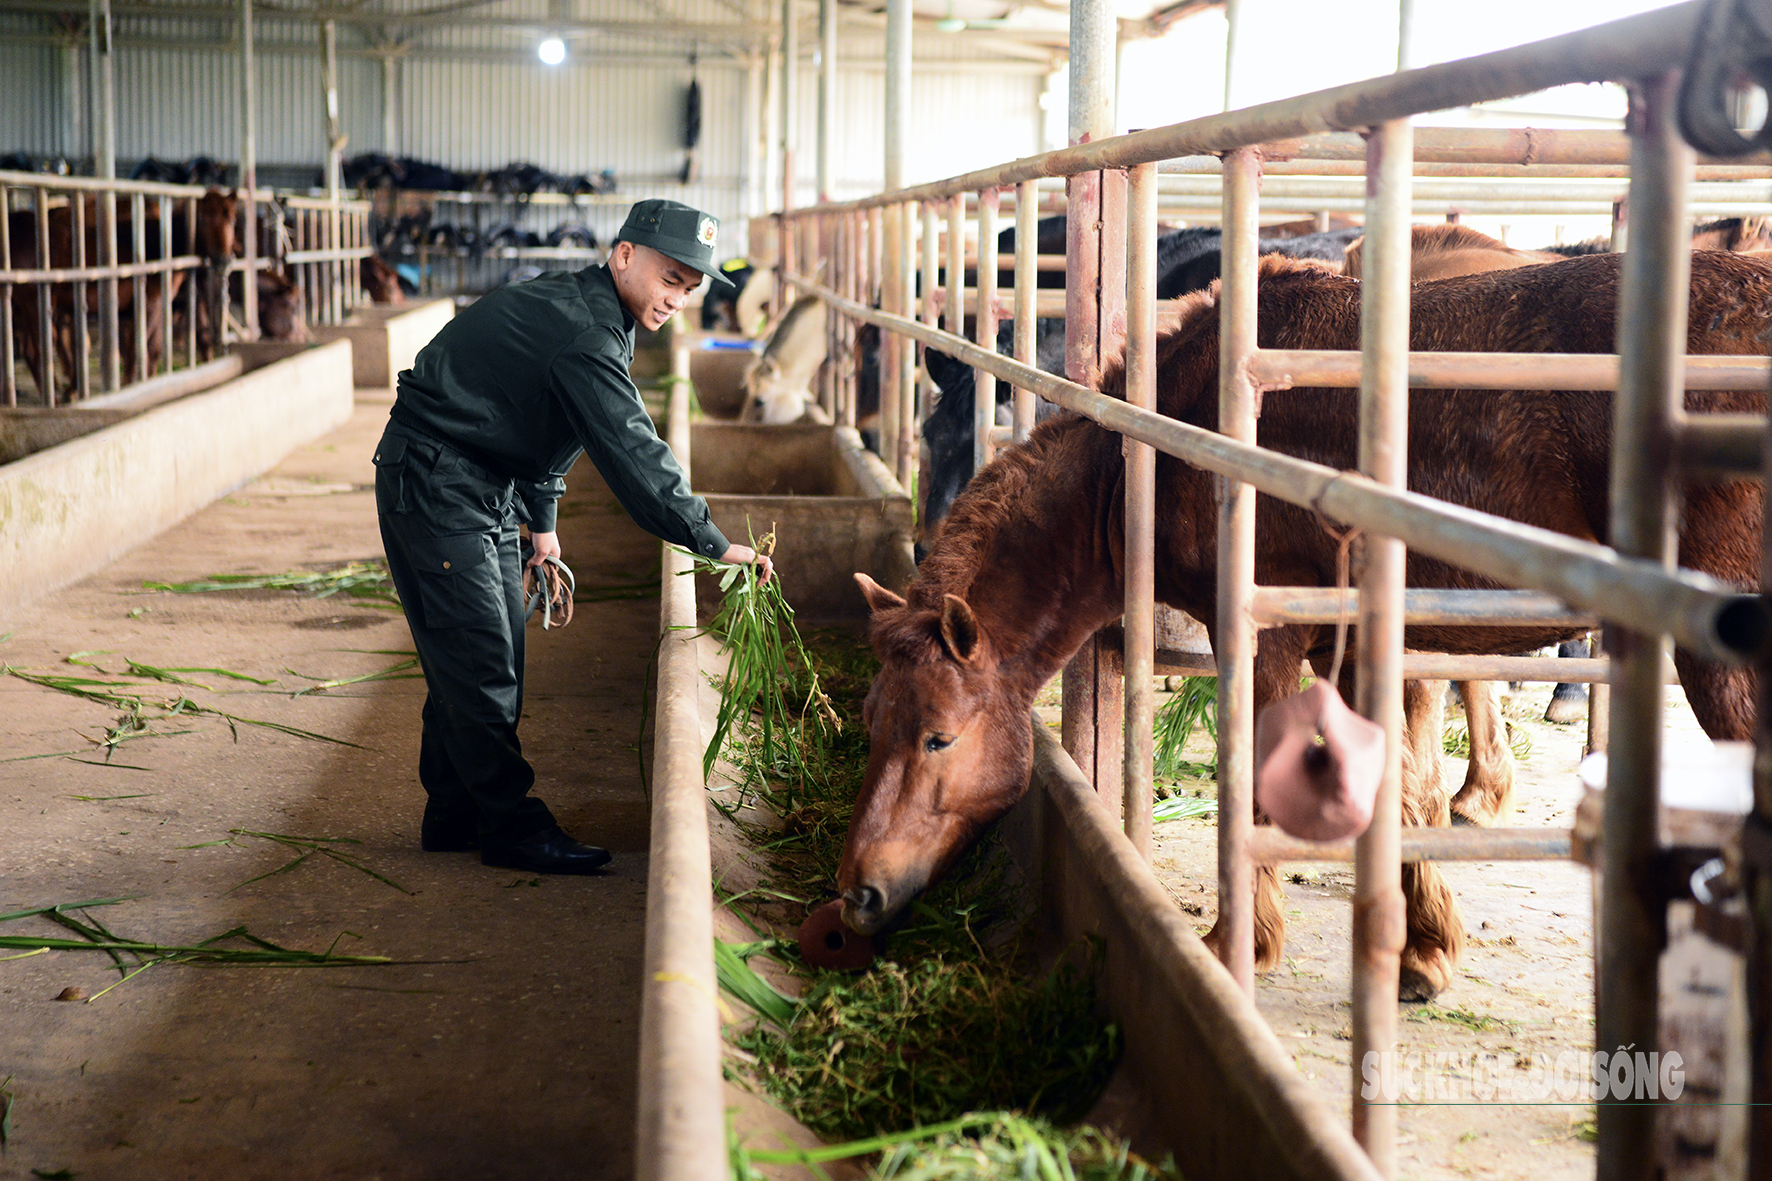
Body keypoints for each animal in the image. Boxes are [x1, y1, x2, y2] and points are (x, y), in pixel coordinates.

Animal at [836, 253, 1764, 1000]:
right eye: (872, 721)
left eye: (939, 737)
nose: (858, 892)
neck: (1168, 444)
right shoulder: (1353, 646)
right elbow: (1408, 790)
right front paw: (1425, 950)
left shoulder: (1262, 635)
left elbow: (1257, 782)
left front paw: (1233, 945)